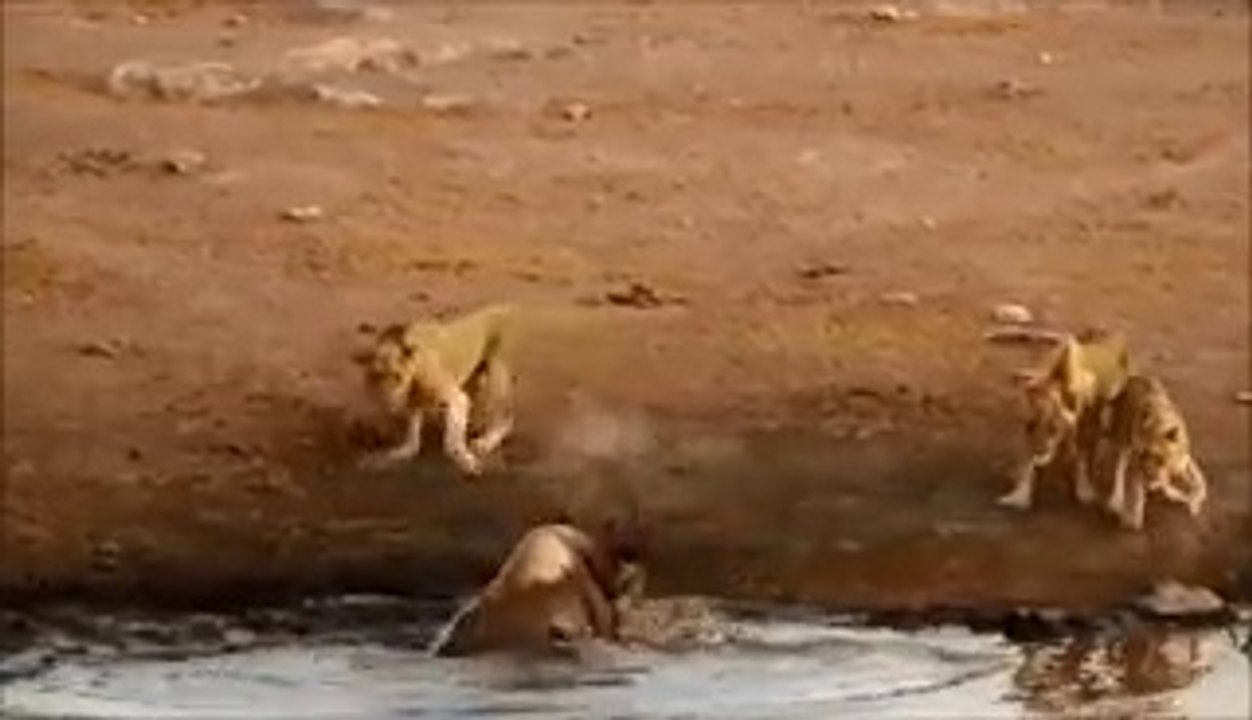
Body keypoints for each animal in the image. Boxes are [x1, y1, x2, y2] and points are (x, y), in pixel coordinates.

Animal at [353, 304, 515, 477]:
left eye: (397, 376)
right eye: (377, 376)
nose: (391, 403)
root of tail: (502, 309)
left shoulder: (456, 397)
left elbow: (452, 439)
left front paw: (466, 460)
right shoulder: (415, 401)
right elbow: (413, 432)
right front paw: (407, 451)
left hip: (497, 377)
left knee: (506, 416)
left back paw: (485, 442)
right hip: (475, 378)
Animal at [998, 329, 1131, 510]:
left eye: (1054, 428)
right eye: (1030, 426)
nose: (1040, 451)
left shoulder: (1087, 428)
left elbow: (1083, 458)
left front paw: (1085, 491)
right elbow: (1028, 463)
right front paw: (1018, 495)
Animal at [1103, 374, 1207, 530]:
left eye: (1156, 455)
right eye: (1141, 453)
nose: (1148, 477)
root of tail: (1132, 377)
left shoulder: (1185, 462)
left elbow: (1198, 483)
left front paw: (1194, 501)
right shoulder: (1136, 460)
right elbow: (1139, 491)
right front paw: (1133, 517)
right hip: (1121, 438)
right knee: (1119, 469)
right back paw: (1117, 499)